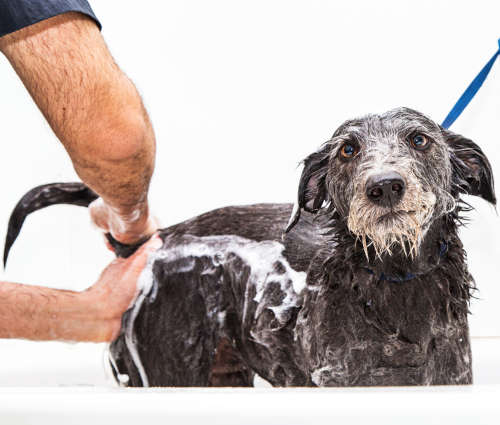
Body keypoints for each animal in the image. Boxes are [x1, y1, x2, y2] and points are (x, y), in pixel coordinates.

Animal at [3, 107, 494, 386]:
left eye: (419, 139)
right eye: (348, 150)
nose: (385, 185)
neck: (396, 284)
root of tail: (157, 241)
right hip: (172, 372)